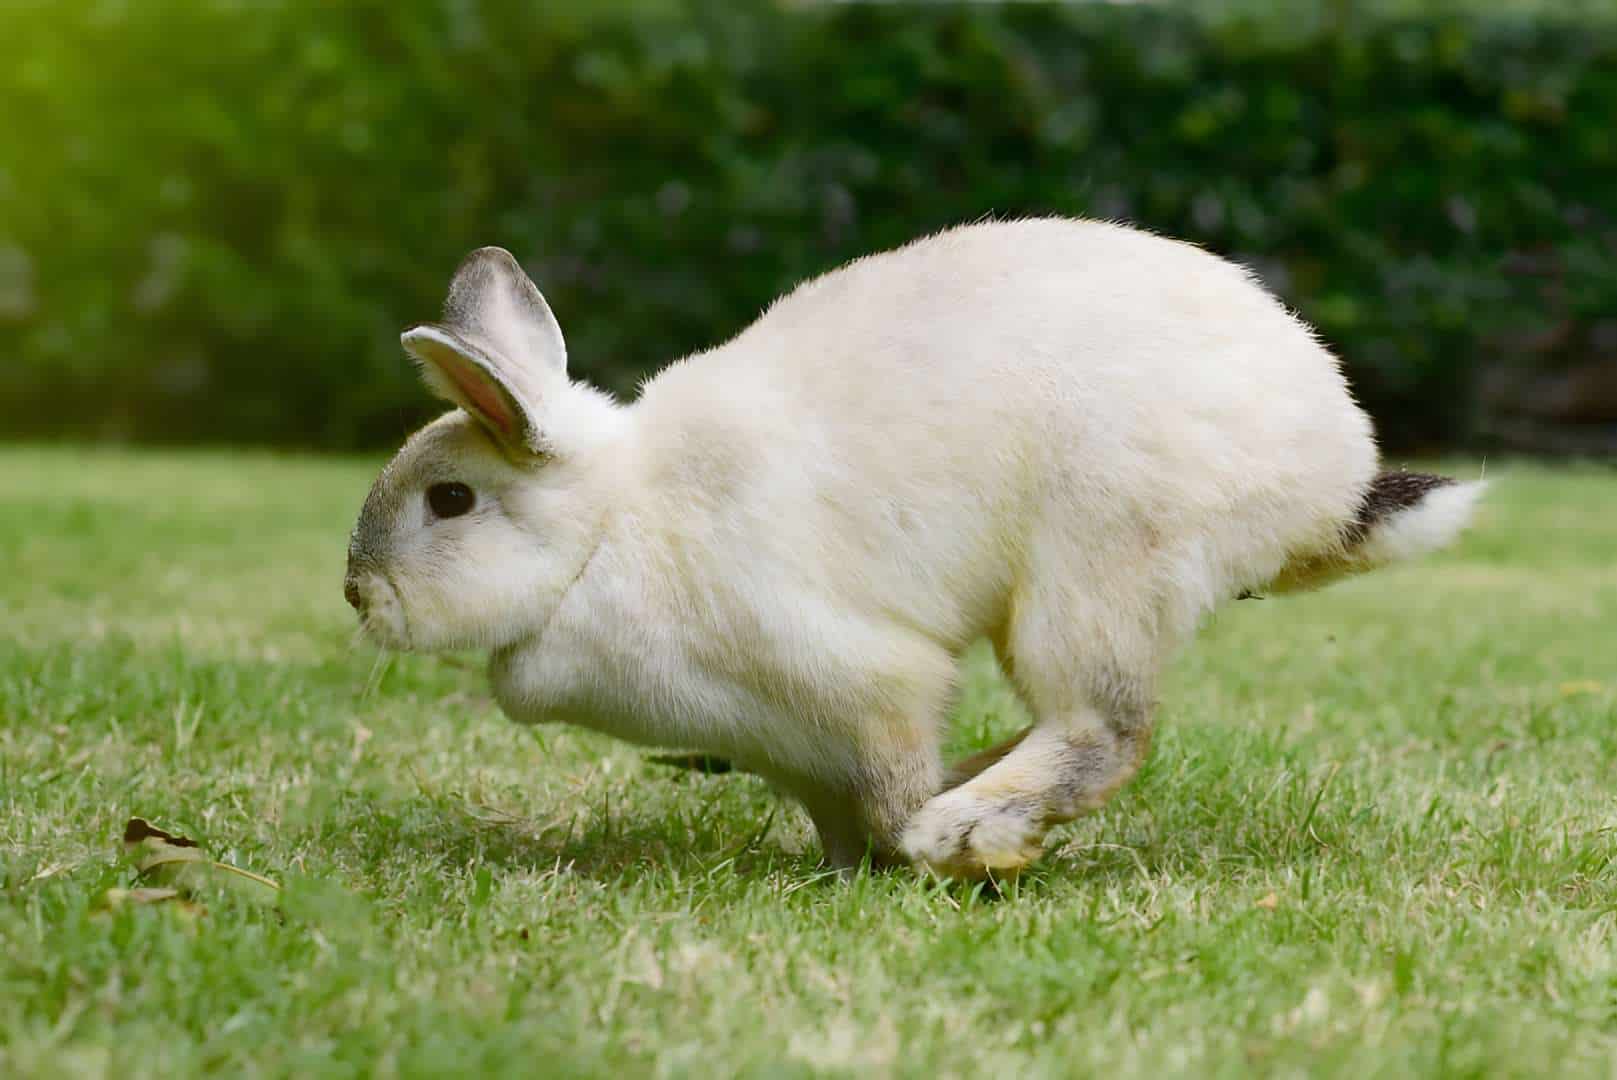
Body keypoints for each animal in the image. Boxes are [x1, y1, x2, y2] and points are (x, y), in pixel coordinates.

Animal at [347, 219, 1481, 879]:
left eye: (450, 500)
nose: (360, 597)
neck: (608, 529)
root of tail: (1328, 475)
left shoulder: (868, 689)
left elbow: (893, 790)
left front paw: (925, 845)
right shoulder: (794, 749)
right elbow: (839, 820)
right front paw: (842, 871)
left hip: (1092, 572)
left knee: (1104, 729)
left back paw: (969, 831)